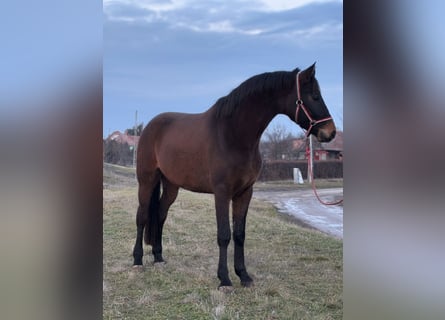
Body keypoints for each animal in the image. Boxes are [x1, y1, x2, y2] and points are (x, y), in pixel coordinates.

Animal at [134, 62, 334, 288]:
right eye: (314, 96)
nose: (331, 132)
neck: (232, 134)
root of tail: (151, 126)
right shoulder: (222, 193)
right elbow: (224, 235)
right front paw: (225, 280)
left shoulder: (244, 192)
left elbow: (239, 234)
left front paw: (244, 276)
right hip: (147, 180)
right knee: (142, 216)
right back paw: (137, 260)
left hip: (171, 185)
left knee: (160, 214)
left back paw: (158, 257)